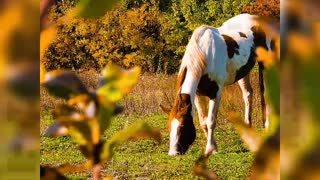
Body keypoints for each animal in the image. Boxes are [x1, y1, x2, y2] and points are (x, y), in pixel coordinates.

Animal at [159, 13, 272, 156]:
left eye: (183, 126)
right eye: (168, 126)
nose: (173, 153)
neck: (204, 56)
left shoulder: (216, 93)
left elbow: (211, 121)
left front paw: (211, 149)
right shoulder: (198, 95)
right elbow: (203, 122)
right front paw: (212, 146)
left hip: (264, 64)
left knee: (265, 95)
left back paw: (267, 128)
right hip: (243, 72)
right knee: (248, 94)